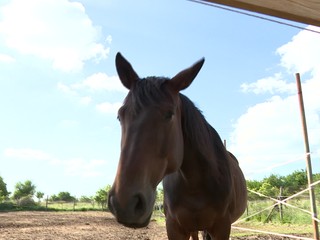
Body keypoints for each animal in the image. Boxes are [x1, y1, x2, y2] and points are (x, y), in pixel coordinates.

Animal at [108, 53, 248, 240]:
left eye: (169, 114)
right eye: (120, 116)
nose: (125, 204)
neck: (194, 183)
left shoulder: (222, 228)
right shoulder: (174, 227)